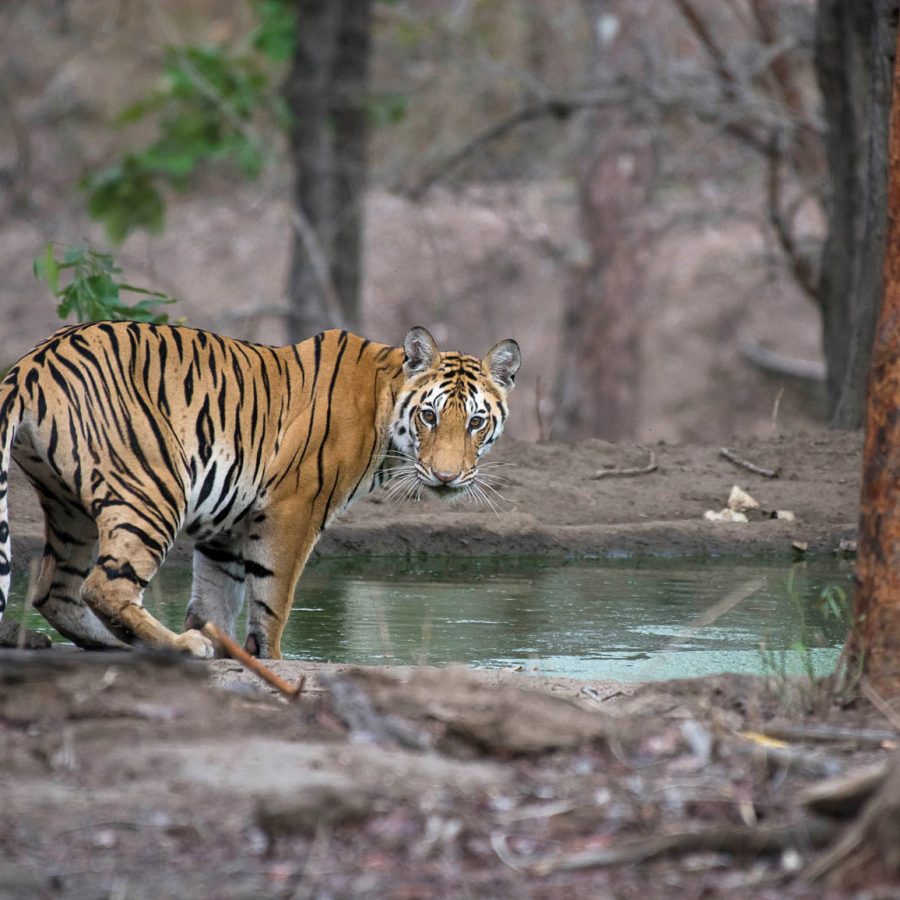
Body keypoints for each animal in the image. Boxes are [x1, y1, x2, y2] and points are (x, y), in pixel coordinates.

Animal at [0, 320, 520, 656]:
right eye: (429, 415)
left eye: (475, 422)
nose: (446, 477)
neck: (386, 407)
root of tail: (32, 361)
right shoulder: (294, 508)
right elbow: (273, 599)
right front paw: (267, 658)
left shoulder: (227, 524)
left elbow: (214, 600)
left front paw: (230, 648)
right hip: (152, 489)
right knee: (104, 588)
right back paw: (181, 646)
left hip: (70, 508)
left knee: (55, 590)